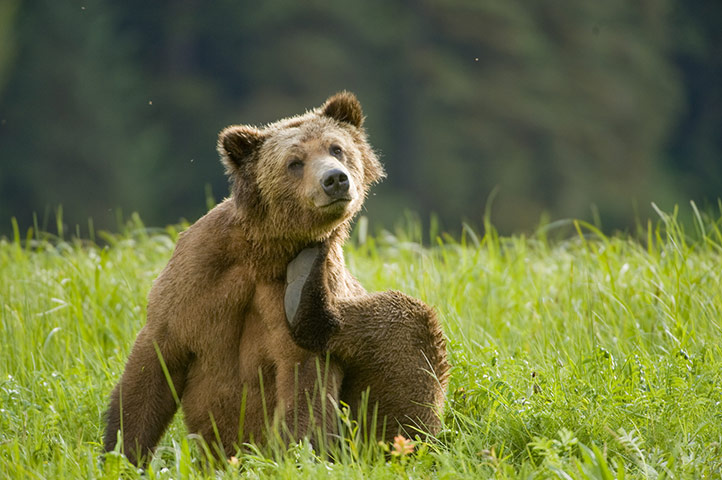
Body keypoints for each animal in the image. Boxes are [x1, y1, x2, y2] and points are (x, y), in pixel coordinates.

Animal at [104, 91, 448, 464]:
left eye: (336, 148)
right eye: (295, 162)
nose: (335, 180)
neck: (267, 254)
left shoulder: (297, 296)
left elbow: (303, 386)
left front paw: (296, 453)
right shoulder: (197, 277)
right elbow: (152, 366)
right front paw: (121, 451)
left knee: (408, 333)